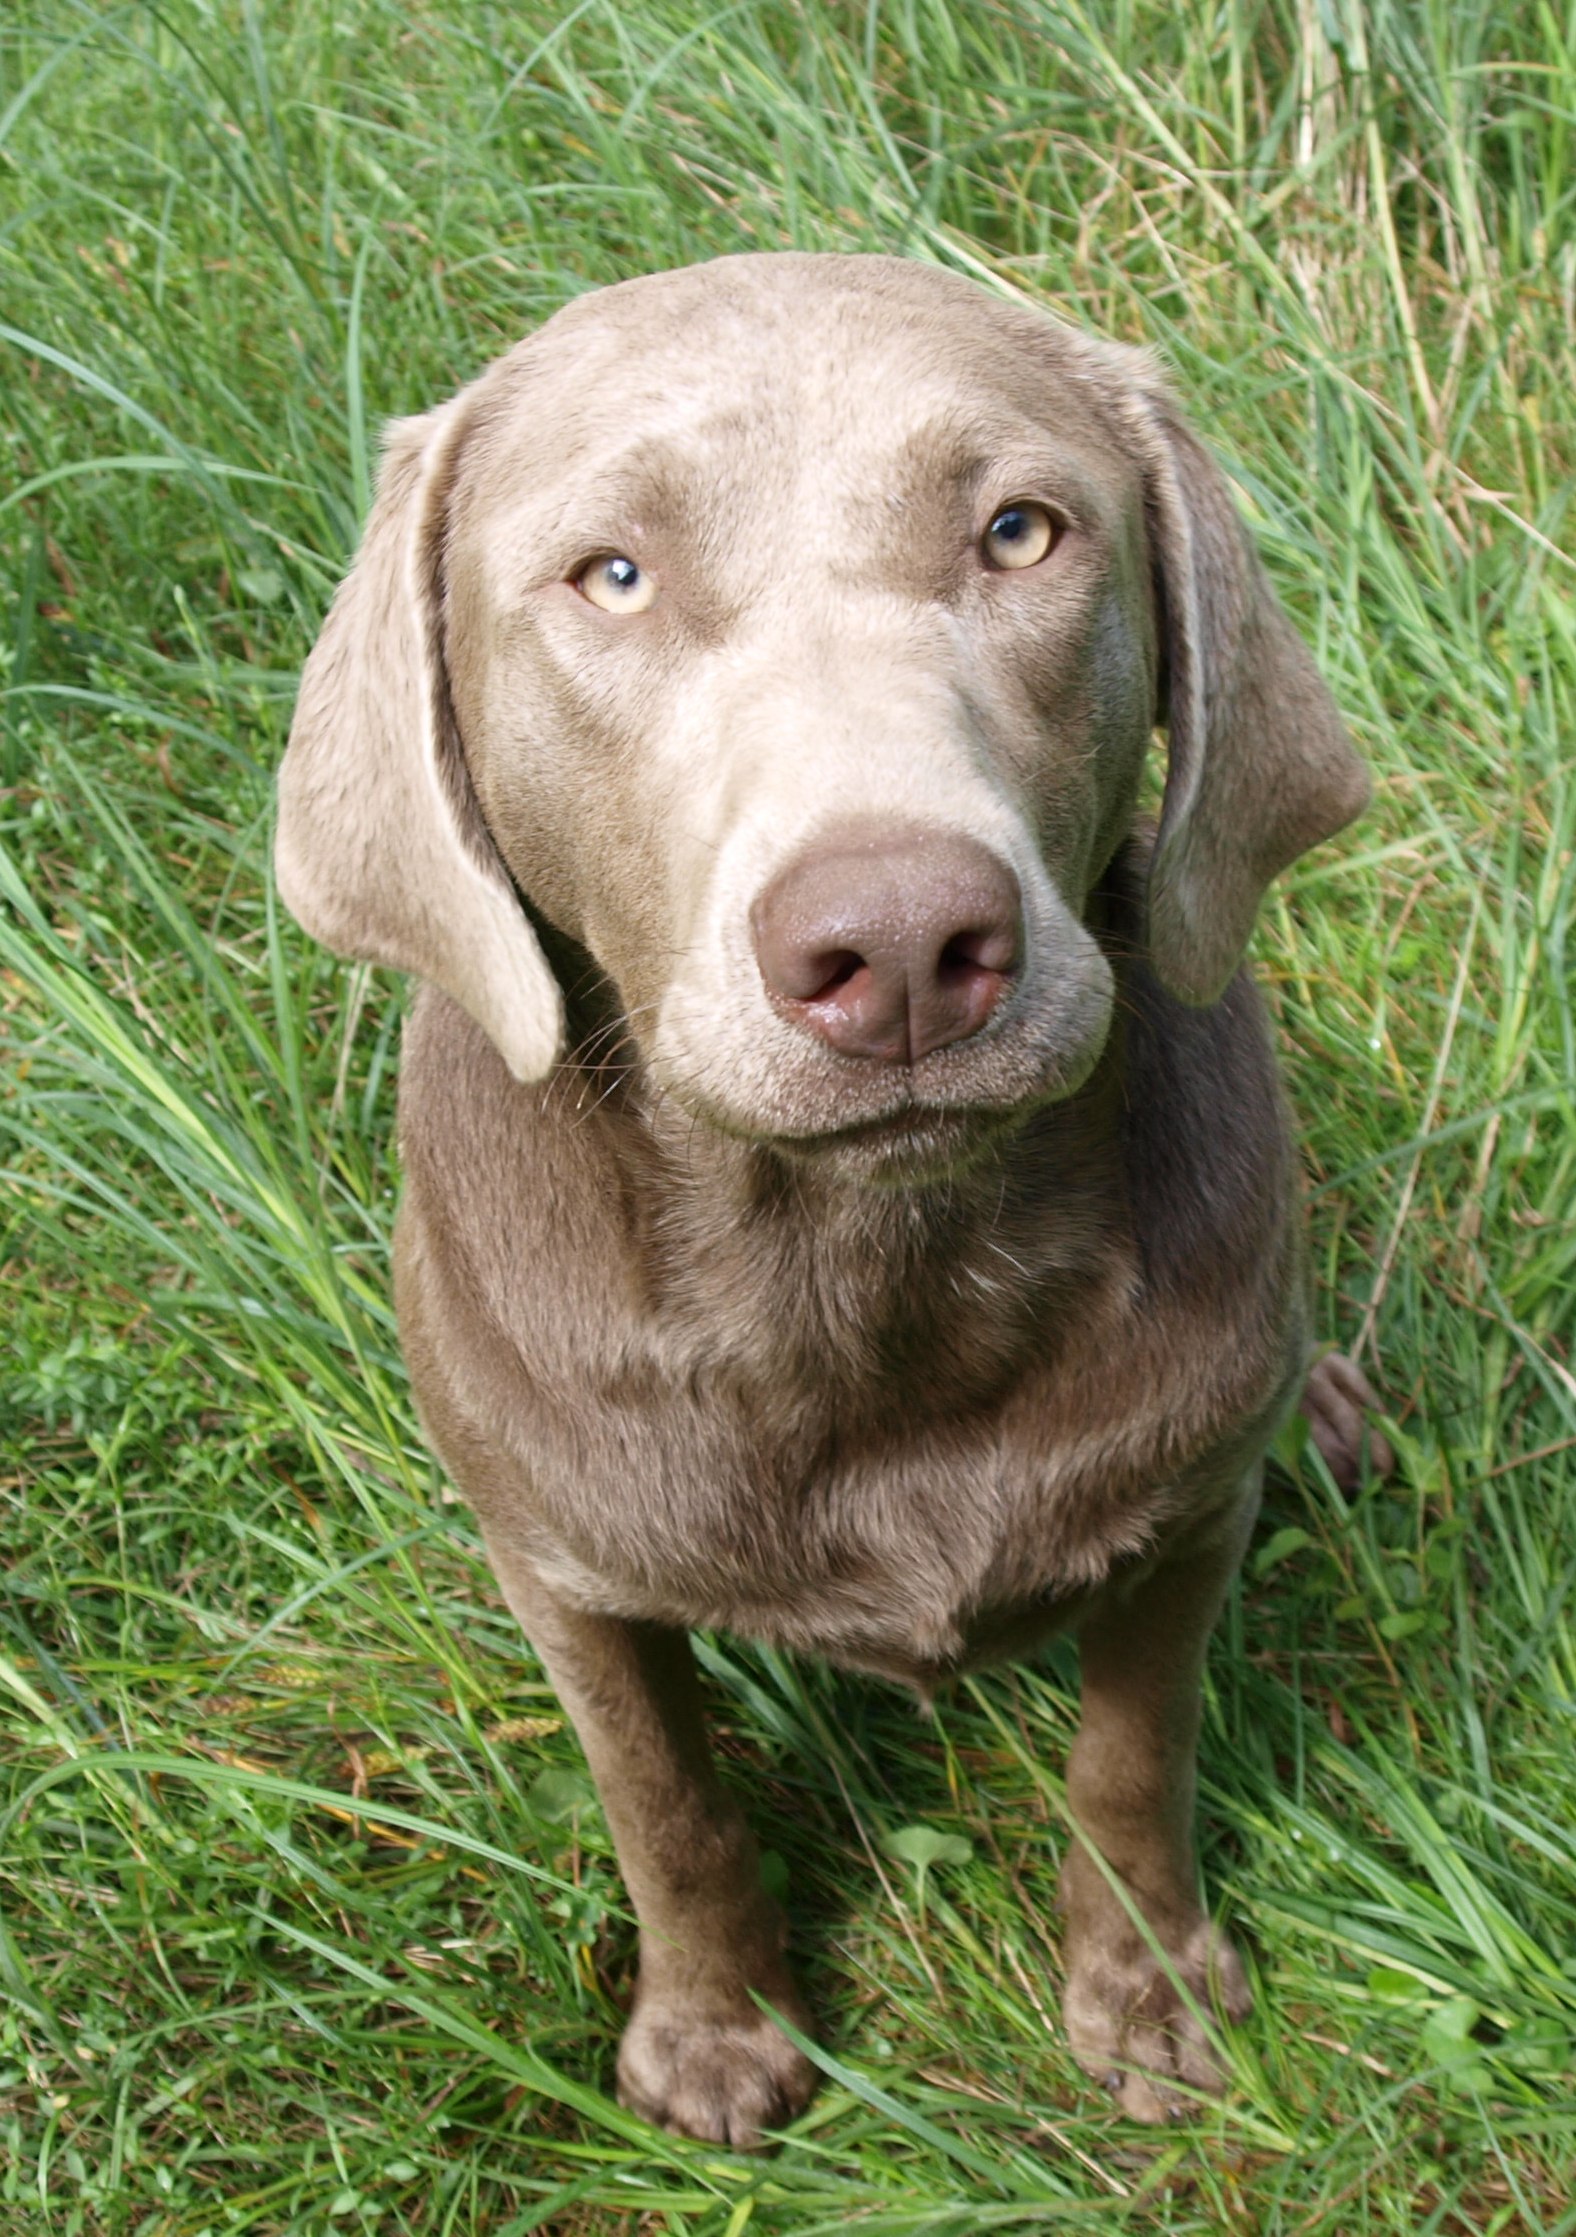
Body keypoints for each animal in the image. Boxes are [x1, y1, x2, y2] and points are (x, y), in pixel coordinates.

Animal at [277, 253, 1385, 2138]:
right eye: (612, 574)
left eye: (1018, 532)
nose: (904, 942)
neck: (865, 1266)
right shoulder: (567, 1573)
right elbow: (667, 1806)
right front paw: (717, 2032)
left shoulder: (1180, 1525)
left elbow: (1132, 1754)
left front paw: (1149, 1992)